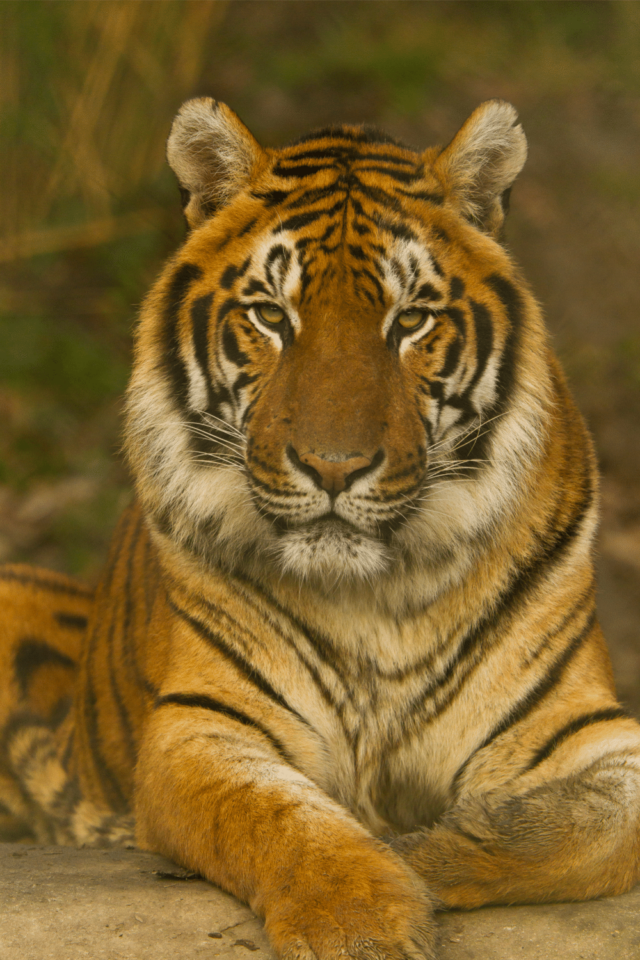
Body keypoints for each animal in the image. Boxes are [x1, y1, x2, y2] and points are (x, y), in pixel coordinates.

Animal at [1, 96, 639, 960]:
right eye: (272, 315)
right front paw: (362, 924)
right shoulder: (203, 727)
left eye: (412, 320)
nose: (334, 469)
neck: (381, 595)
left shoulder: (583, 730)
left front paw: (425, 852)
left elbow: (578, 827)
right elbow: (282, 821)